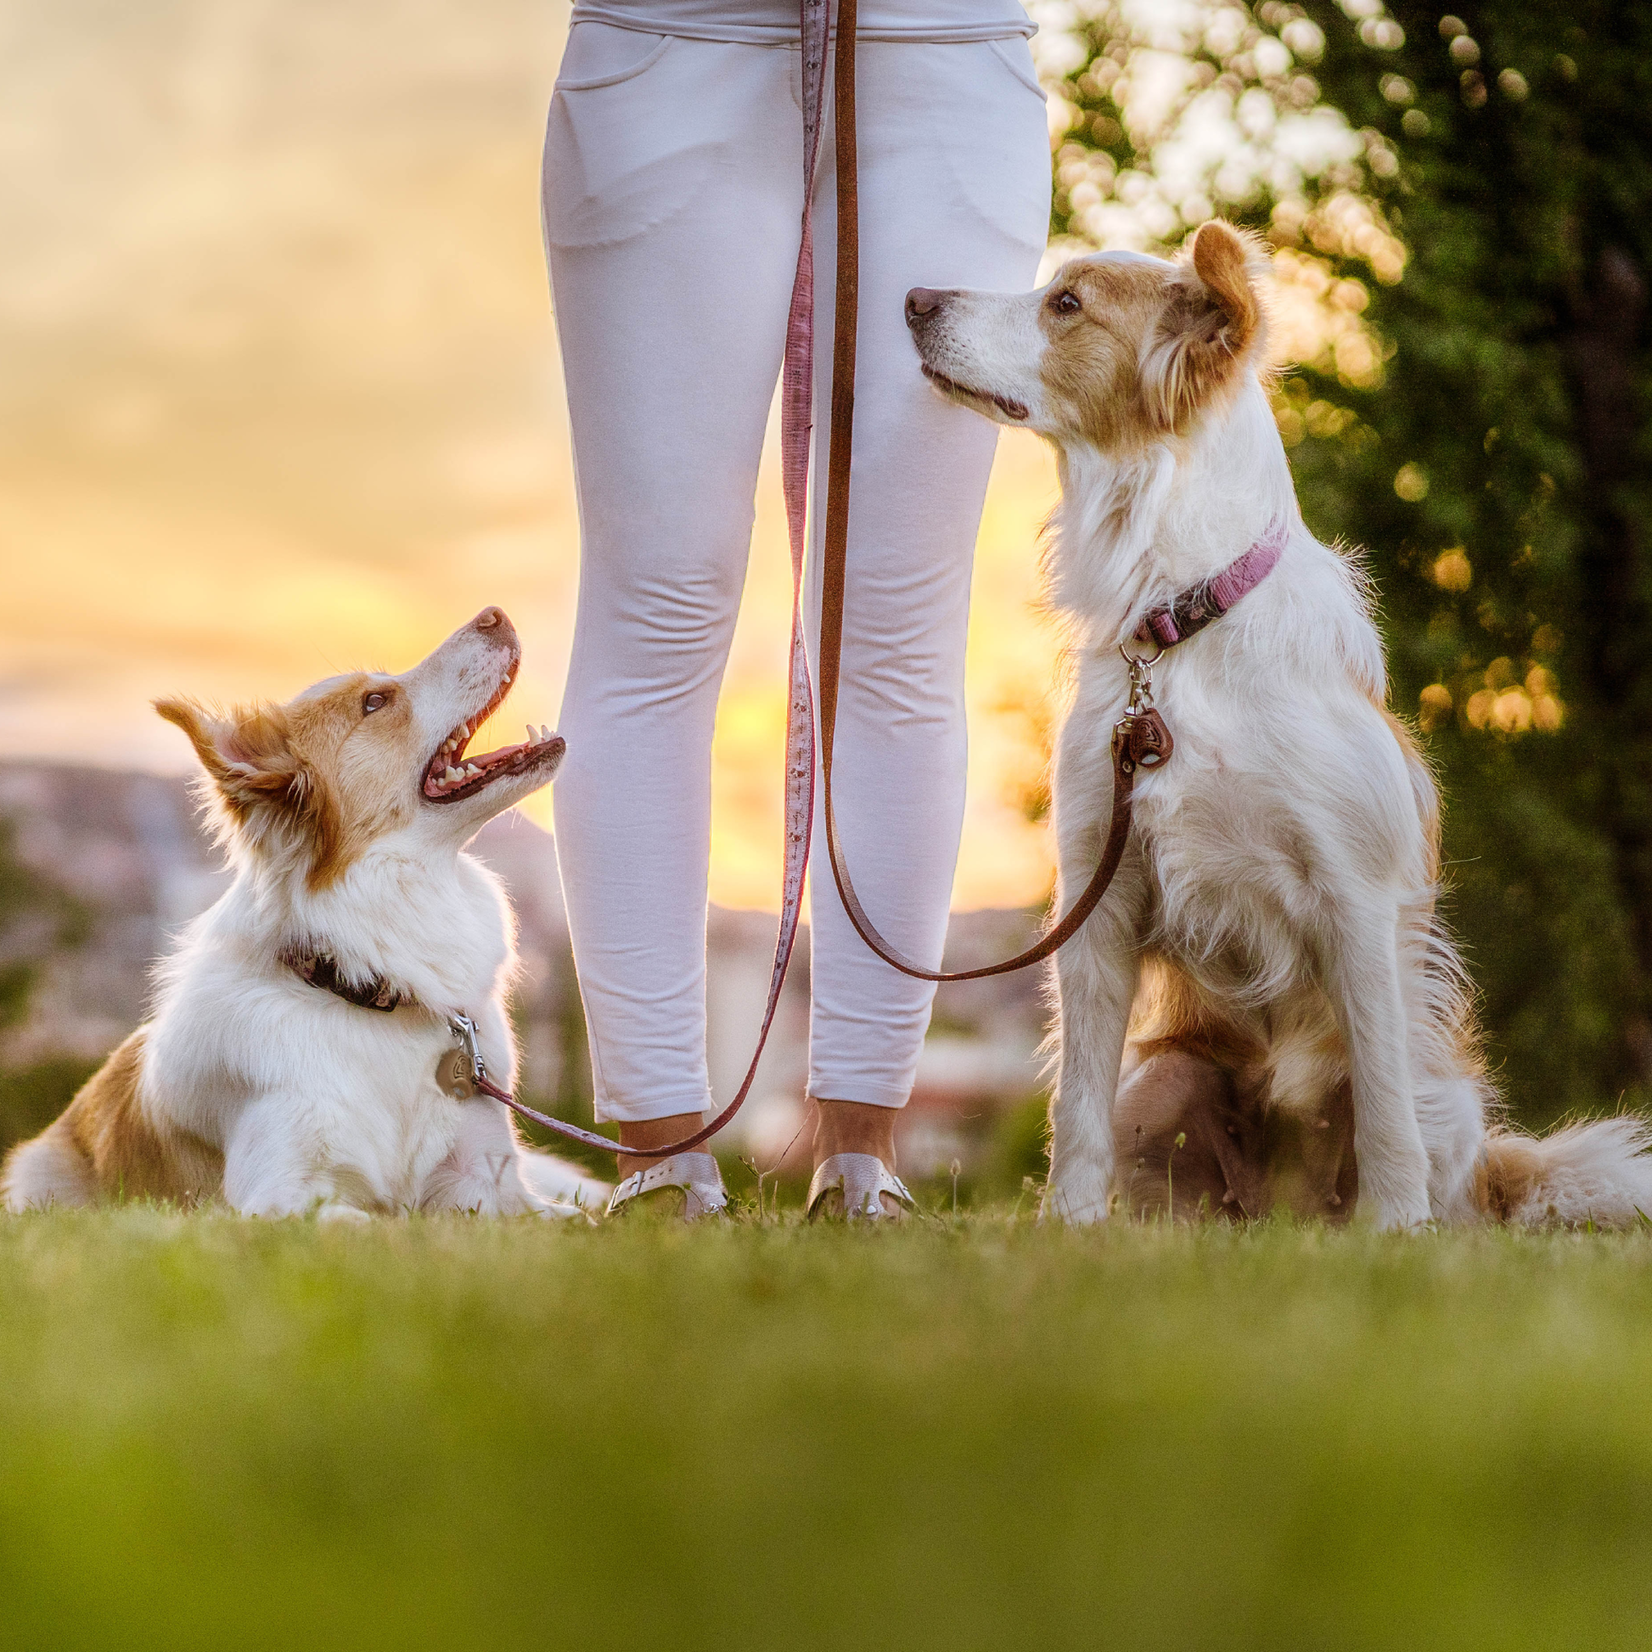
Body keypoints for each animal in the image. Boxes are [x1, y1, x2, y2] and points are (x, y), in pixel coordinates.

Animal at [0, 607, 607, 1215]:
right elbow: (375, 1223)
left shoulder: (486, 1183)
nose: (494, 614)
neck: (357, 982)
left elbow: (569, 1221)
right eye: (374, 702)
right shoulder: (280, 1194)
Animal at [911, 219, 1652, 1229]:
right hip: (1165, 1081)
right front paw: (1068, 1228)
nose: (914, 299)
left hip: (1448, 1099)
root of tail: (1282, 1209)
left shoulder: (1357, 900)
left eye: (1067, 303)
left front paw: (1397, 1232)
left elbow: (1381, 1103)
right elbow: (1076, 1106)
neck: (1182, 626)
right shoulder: (1100, 898)